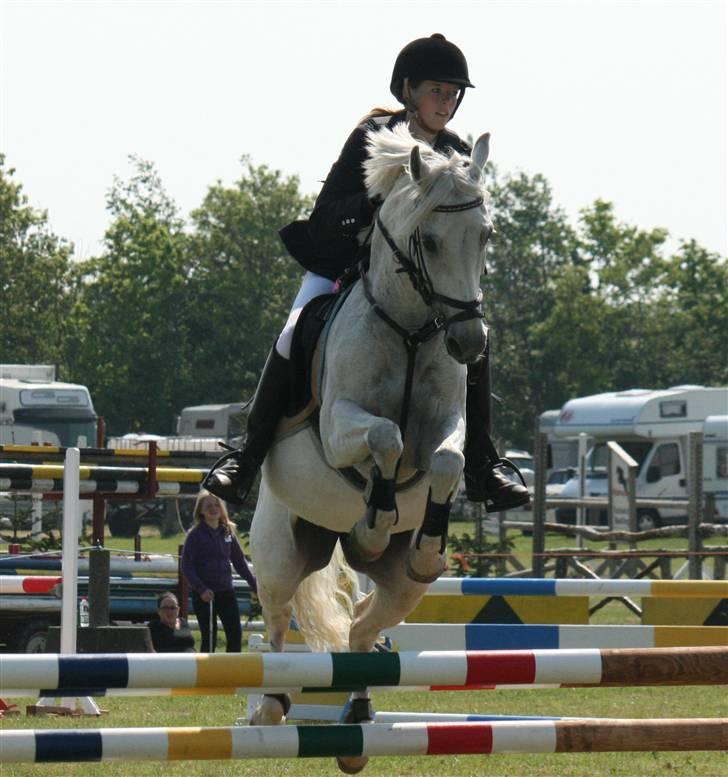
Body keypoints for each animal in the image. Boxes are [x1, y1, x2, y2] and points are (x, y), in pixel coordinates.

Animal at [249, 123, 492, 773]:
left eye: (485, 235)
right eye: (428, 240)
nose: (470, 342)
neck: (410, 327)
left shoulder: (448, 429)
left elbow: (447, 459)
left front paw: (423, 541)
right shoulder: (339, 429)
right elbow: (385, 437)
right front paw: (376, 520)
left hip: (401, 589)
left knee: (361, 627)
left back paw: (358, 715)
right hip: (280, 549)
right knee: (275, 618)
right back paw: (271, 704)